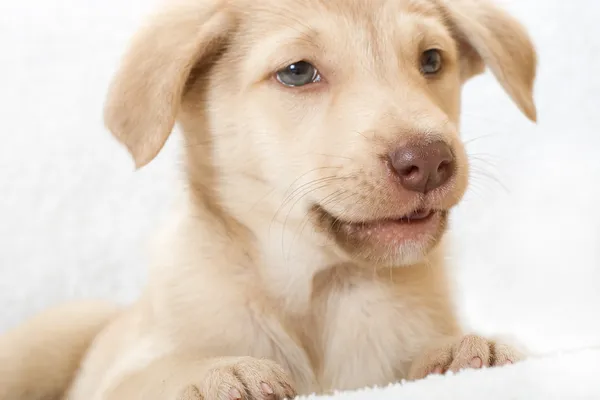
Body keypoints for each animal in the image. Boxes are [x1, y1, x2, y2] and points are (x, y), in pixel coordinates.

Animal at [0, 0, 536, 400]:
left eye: (431, 60)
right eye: (297, 72)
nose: (428, 161)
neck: (318, 292)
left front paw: (463, 353)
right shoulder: (121, 373)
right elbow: (155, 374)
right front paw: (215, 373)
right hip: (53, 332)